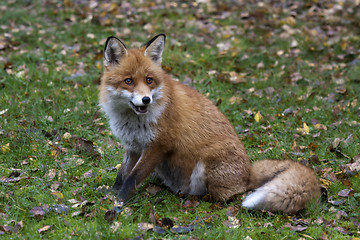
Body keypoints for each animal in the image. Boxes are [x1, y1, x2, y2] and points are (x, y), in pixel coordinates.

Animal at [98, 33, 320, 214]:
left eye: (149, 80)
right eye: (128, 81)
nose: (146, 100)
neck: (132, 120)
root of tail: (248, 173)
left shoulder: (158, 146)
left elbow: (132, 178)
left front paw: (118, 203)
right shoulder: (133, 146)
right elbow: (122, 175)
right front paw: (112, 195)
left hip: (206, 164)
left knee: (229, 195)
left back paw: (193, 197)